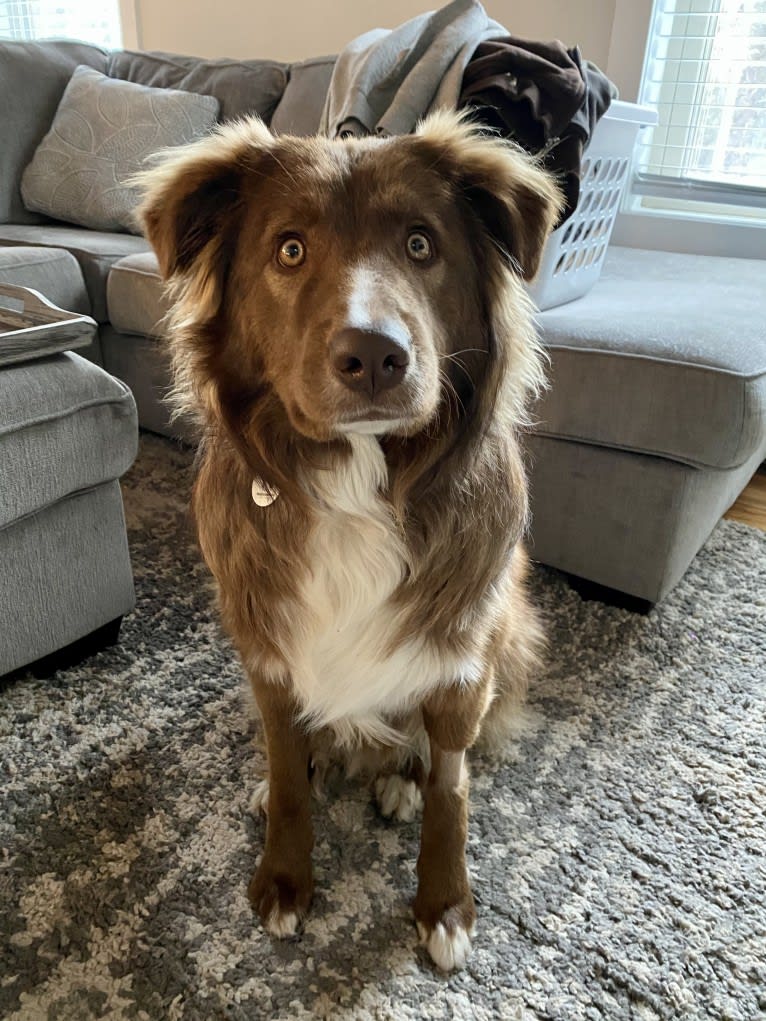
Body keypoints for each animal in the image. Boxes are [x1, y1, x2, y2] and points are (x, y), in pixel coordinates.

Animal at [139, 111, 563, 971]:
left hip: (511, 633)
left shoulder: (463, 657)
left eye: (421, 244)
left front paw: (445, 903)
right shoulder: (269, 652)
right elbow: (289, 776)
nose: (373, 355)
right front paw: (284, 872)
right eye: (289, 250)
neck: (358, 486)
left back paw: (398, 776)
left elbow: (453, 788)